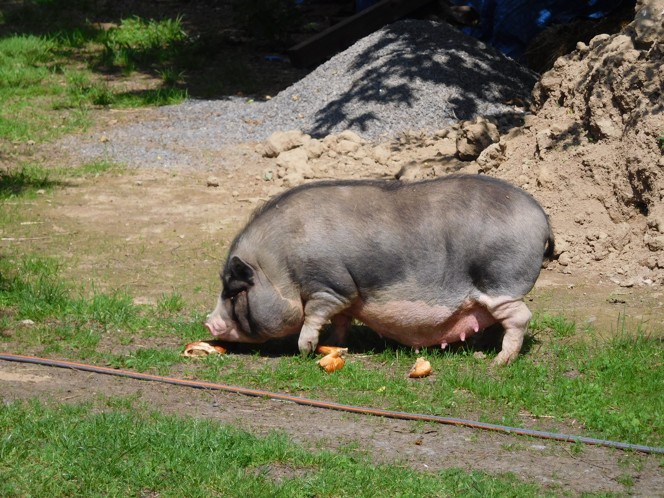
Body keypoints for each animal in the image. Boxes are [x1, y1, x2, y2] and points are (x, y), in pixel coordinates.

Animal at [205, 174, 554, 365]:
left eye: (234, 292)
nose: (208, 322)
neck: (279, 268)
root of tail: (542, 217)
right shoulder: (347, 296)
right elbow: (342, 320)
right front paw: (337, 344)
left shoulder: (330, 286)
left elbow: (314, 315)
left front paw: (305, 350)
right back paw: (482, 352)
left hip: (500, 282)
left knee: (520, 317)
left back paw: (498, 363)